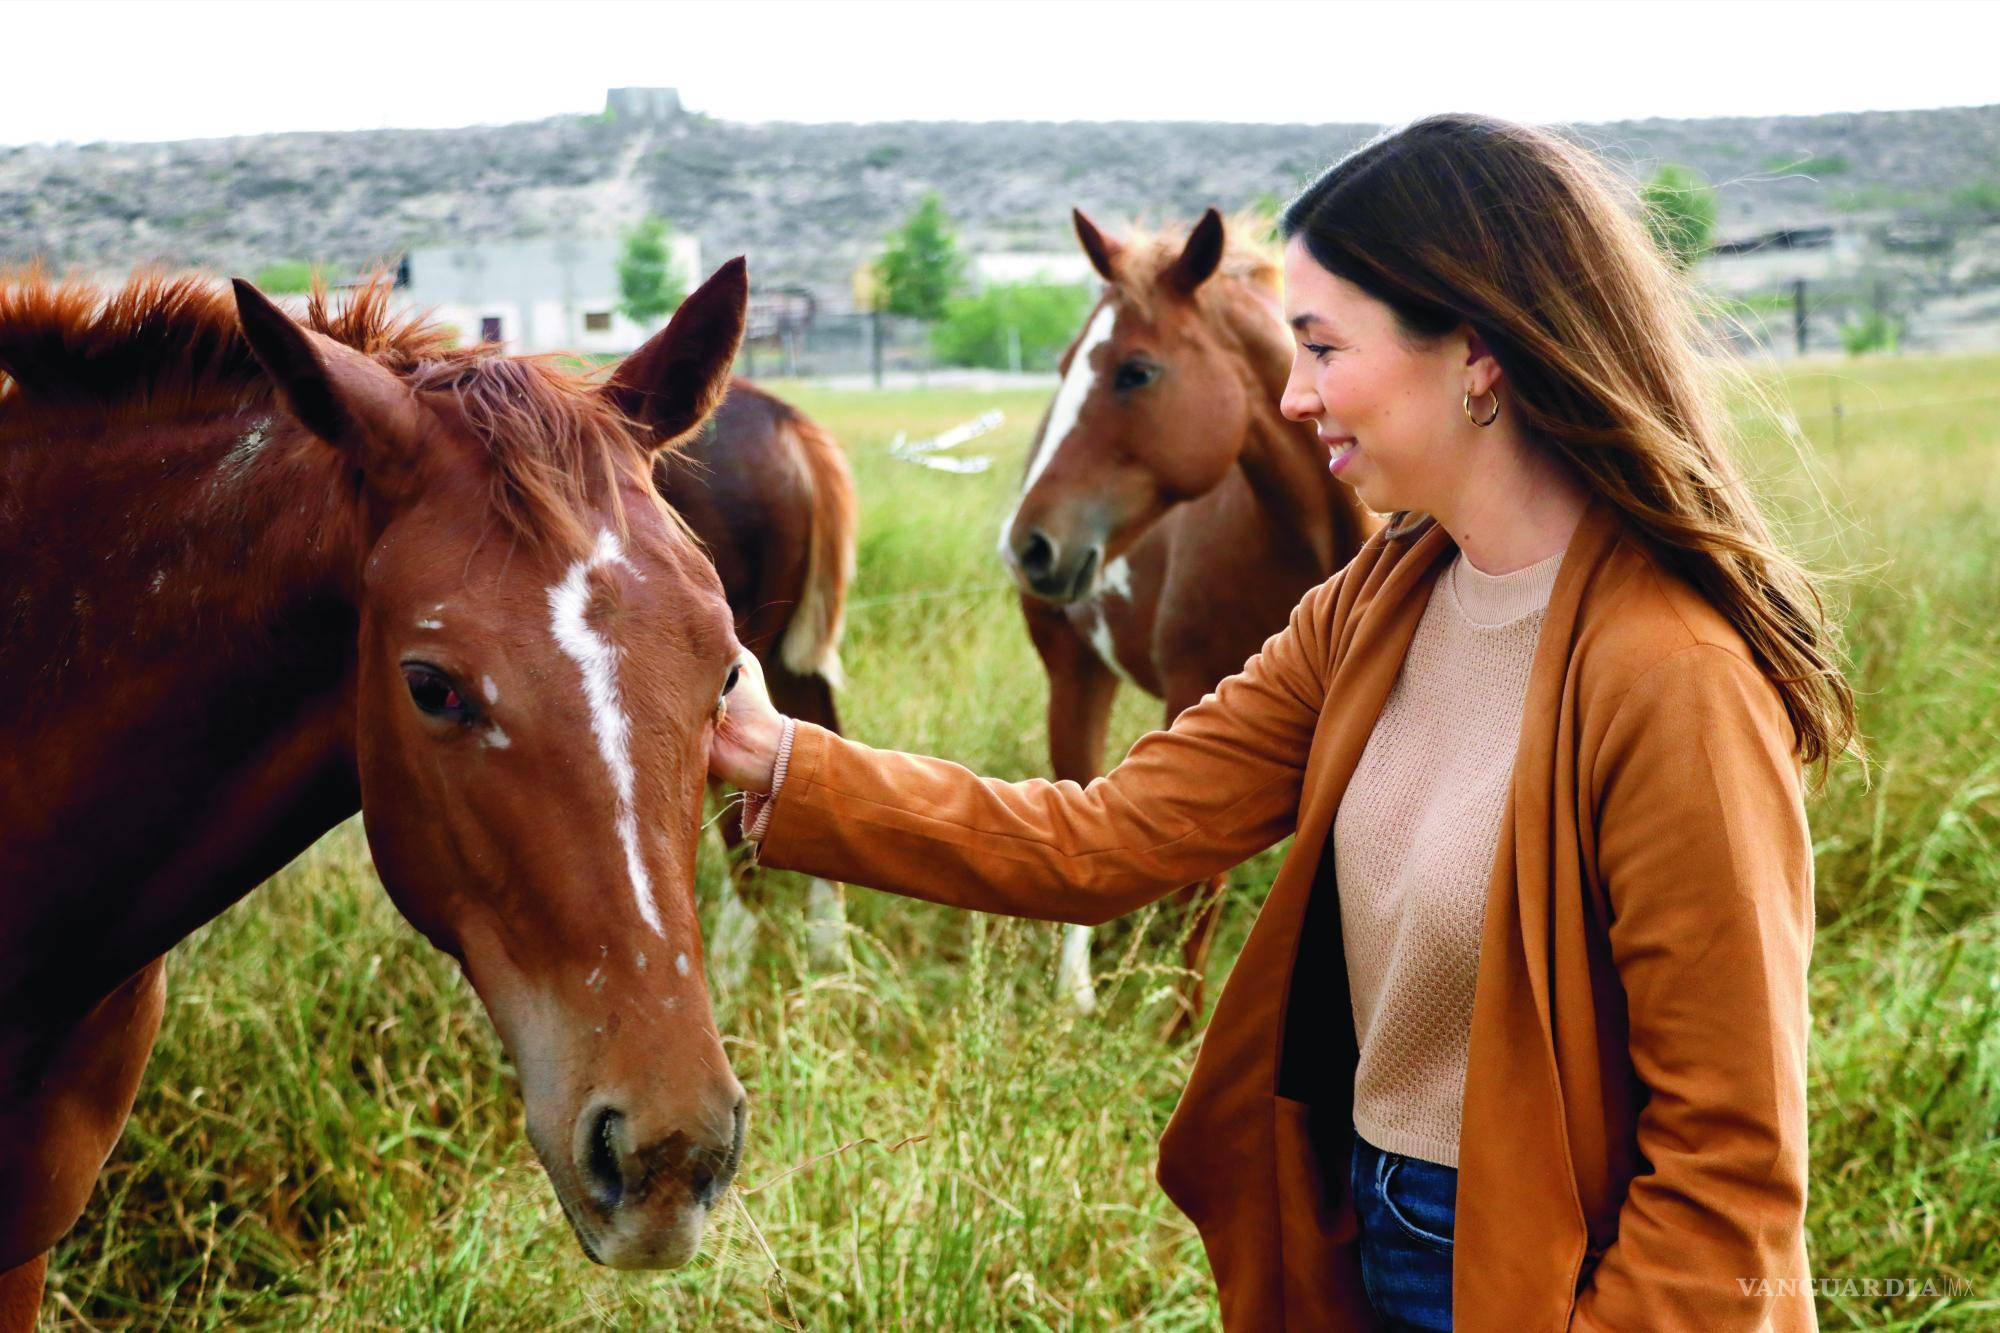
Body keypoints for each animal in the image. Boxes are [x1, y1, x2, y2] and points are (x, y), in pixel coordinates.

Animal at [1000, 210, 1376, 1040]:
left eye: (1136, 371)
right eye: (1066, 365)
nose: (1027, 545)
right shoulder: (1196, 700)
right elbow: (1198, 887)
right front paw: (1177, 1032)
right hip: (1074, 675)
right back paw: (1074, 997)